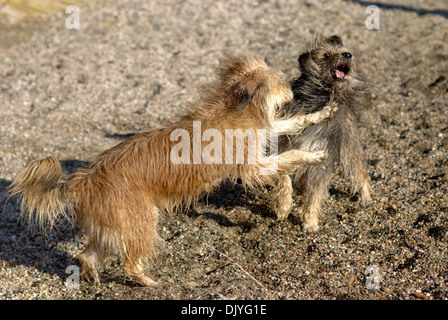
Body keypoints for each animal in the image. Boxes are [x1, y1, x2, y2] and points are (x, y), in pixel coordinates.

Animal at [7, 52, 336, 284]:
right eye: (280, 82)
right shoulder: (252, 167)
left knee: (88, 253)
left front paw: (321, 114)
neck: (235, 108)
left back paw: (93, 275)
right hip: (142, 220)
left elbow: (290, 129)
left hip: (113, 224)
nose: (292, 87)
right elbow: (289, 159)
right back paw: (149, 282)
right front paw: (313, 156)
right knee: (128, 262)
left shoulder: (264, 139)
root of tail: (84, 180)